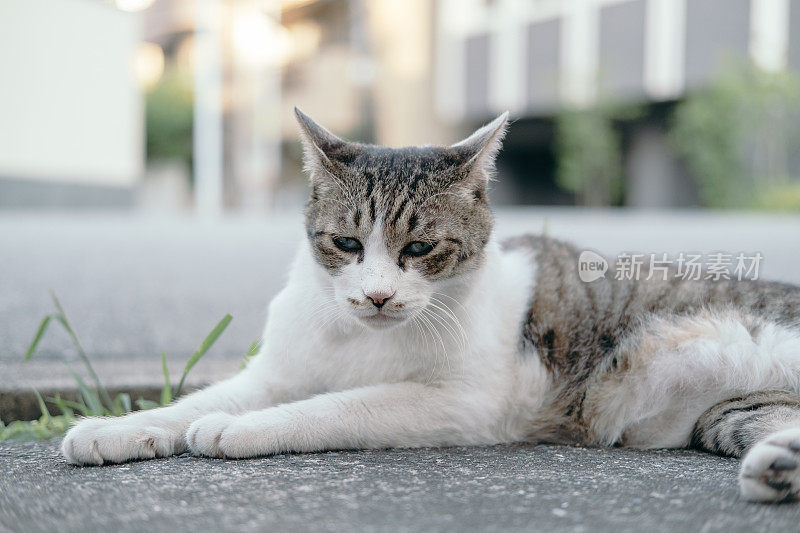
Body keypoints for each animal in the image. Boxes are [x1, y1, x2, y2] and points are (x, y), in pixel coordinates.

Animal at [61, 109, 800, 502]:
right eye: (347, 243)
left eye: (419, 248)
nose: (378, 293)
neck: (360, 335)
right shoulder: (274, 373)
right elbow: (189, 403)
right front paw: (114, 429)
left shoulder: (460, 402)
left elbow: (332, 407)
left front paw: (234, 429)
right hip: (730, 416)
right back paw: (779, 468)